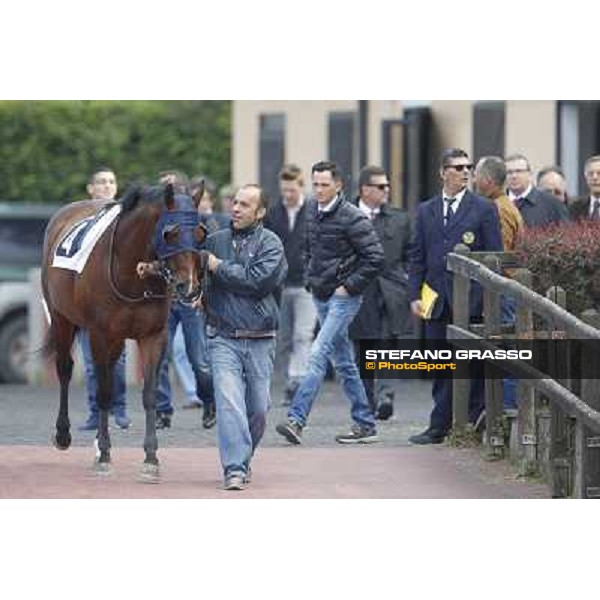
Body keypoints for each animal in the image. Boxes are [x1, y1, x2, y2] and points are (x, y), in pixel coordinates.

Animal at [41, 183, 206, 482]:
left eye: (201, 232)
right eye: (171, 233)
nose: (189, 286)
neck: (130, 270)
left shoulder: (153, 335)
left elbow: (149, 394)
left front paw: (150, 458)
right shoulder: (99, 333)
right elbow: (104, 392)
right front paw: (106, 454)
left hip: (116, 338)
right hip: (61, 319)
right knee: (65, 369)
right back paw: (64, 434)